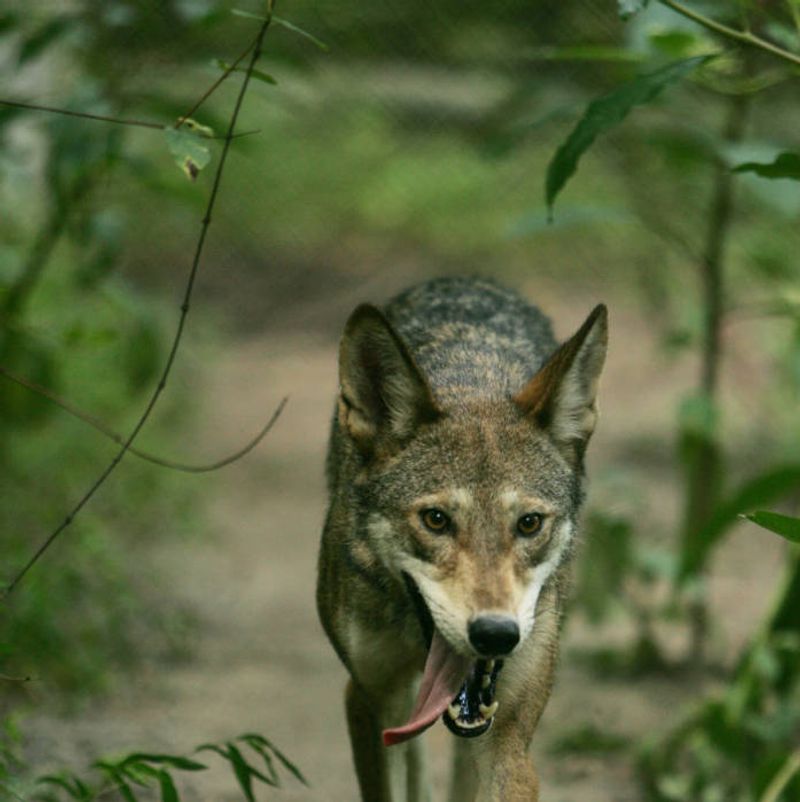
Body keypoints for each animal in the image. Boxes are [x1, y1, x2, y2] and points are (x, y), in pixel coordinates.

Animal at [317, 277, 607, 802]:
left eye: (529, 524)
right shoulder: (369, 699)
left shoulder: (508, 738)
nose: (495, 634)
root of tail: (465, 280)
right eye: (436, 520)